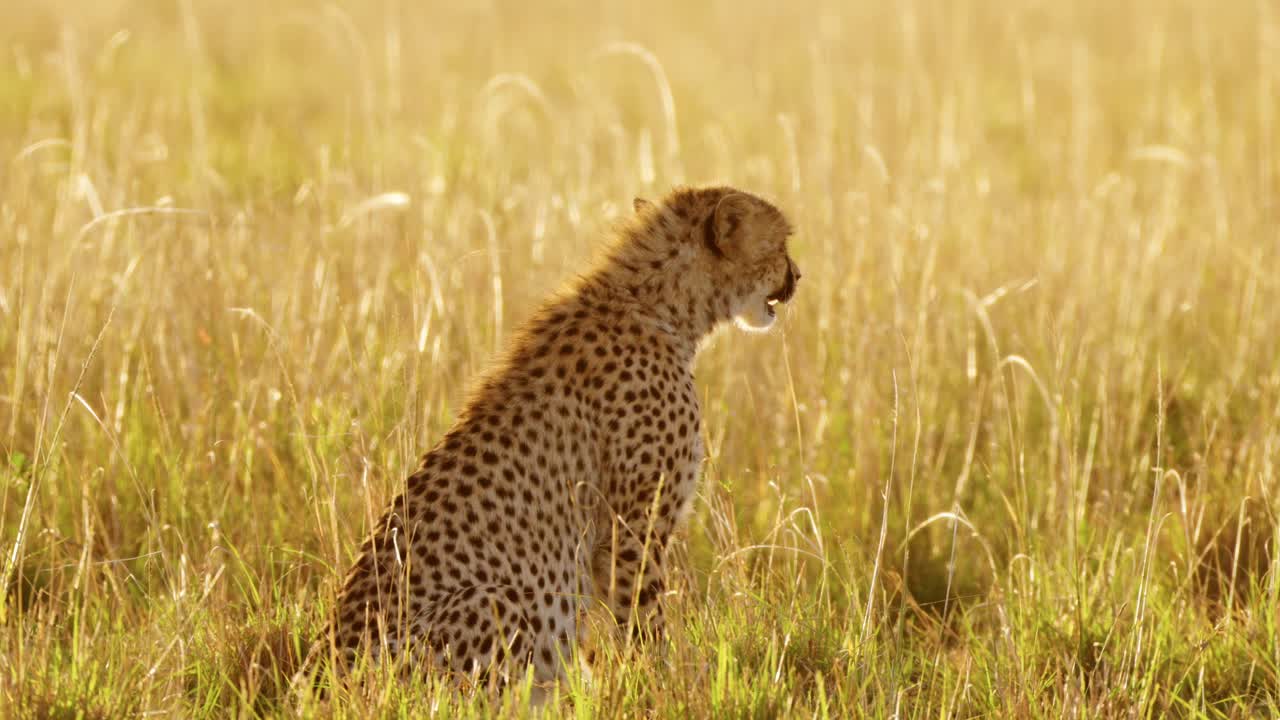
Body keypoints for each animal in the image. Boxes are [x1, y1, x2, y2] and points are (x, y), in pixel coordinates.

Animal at [300, 184, 800, 696]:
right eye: (782, 243)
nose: (797, 276)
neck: (655, 303)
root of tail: (316, 676)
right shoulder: (629, 532)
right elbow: (644, 626)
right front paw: (665, 688)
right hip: (498, 599)